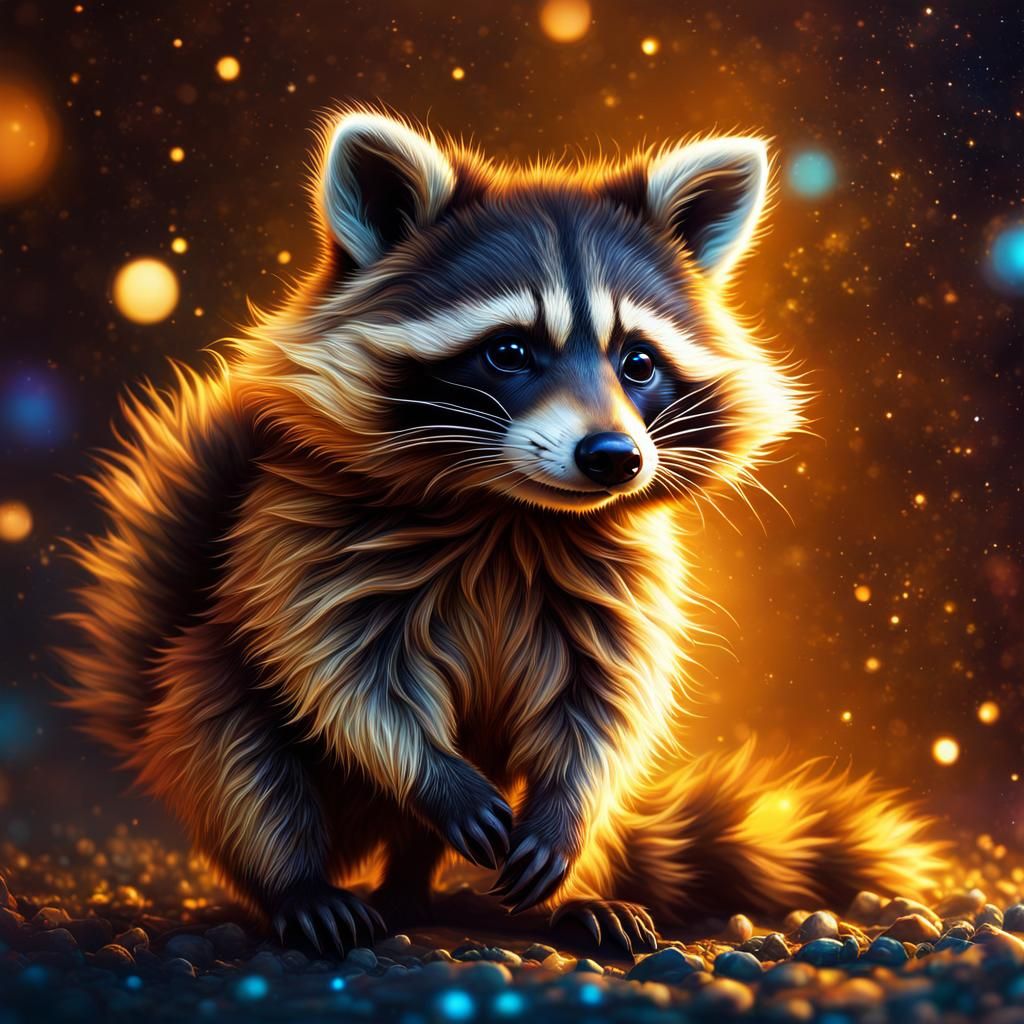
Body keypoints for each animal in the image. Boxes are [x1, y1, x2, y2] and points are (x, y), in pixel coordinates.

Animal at [61, 108, 943, 954]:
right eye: (510, 351)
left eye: (638, 363)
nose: (615, 458)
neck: (510, 513)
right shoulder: (306, 536)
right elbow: (343, 677)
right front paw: (429, 774)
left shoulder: (622, 578)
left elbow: (605, 708)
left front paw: (566, 812)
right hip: (197, 687)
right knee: (241, 754)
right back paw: (303, 886)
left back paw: (541, 896)